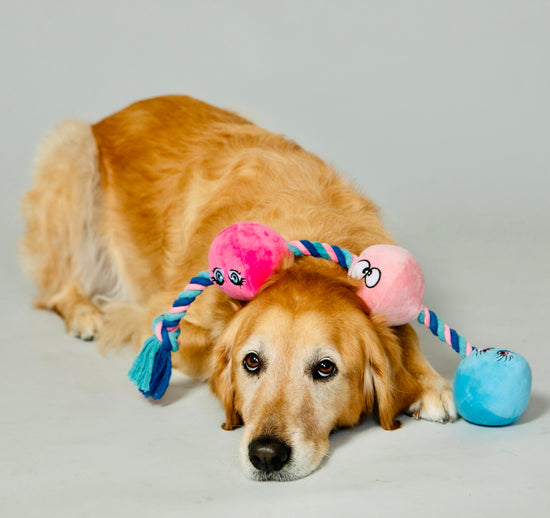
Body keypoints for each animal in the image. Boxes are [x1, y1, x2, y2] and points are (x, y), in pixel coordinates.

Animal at [20, 96, 458, 484]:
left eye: (325, 368)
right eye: (251, 362)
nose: (266, 455)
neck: (306, 249)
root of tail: (111, 116)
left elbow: (407, 334)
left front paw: (430, 383)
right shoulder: (159, 319)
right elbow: (204, 345)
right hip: (73, 150)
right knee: (57, 288)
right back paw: (84, 312)